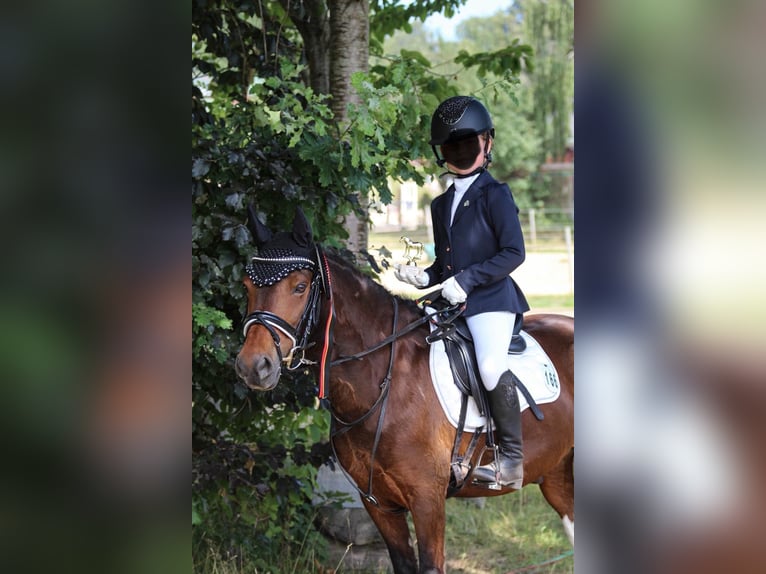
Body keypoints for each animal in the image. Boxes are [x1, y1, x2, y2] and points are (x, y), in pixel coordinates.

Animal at [235, 208, 574, 574]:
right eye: (247, 286)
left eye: (299, 287)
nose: (253, 366)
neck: (383, 384)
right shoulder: (379, 504)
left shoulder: (427, 500)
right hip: (557, 476)